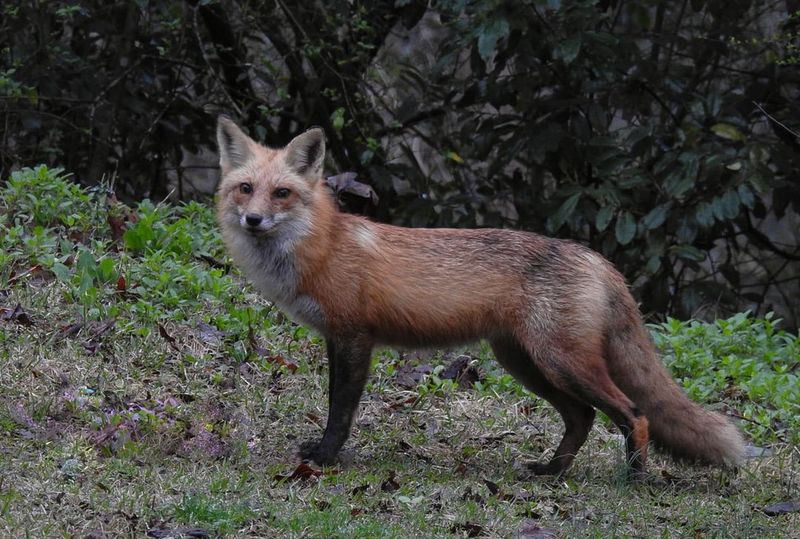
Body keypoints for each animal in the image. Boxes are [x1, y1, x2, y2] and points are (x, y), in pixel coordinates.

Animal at [215, 115, 745, 478]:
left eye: (282, 194)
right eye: (246, 189)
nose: (253, 220)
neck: (320, 249)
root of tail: (597, 259)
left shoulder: (353, 338)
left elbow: (339, 408)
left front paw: (326, 456)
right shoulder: (338, 338)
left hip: (561, 362)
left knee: (633, 413)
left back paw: (633, 477)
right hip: (525, 363)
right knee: (583, 417)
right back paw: (551, 471)